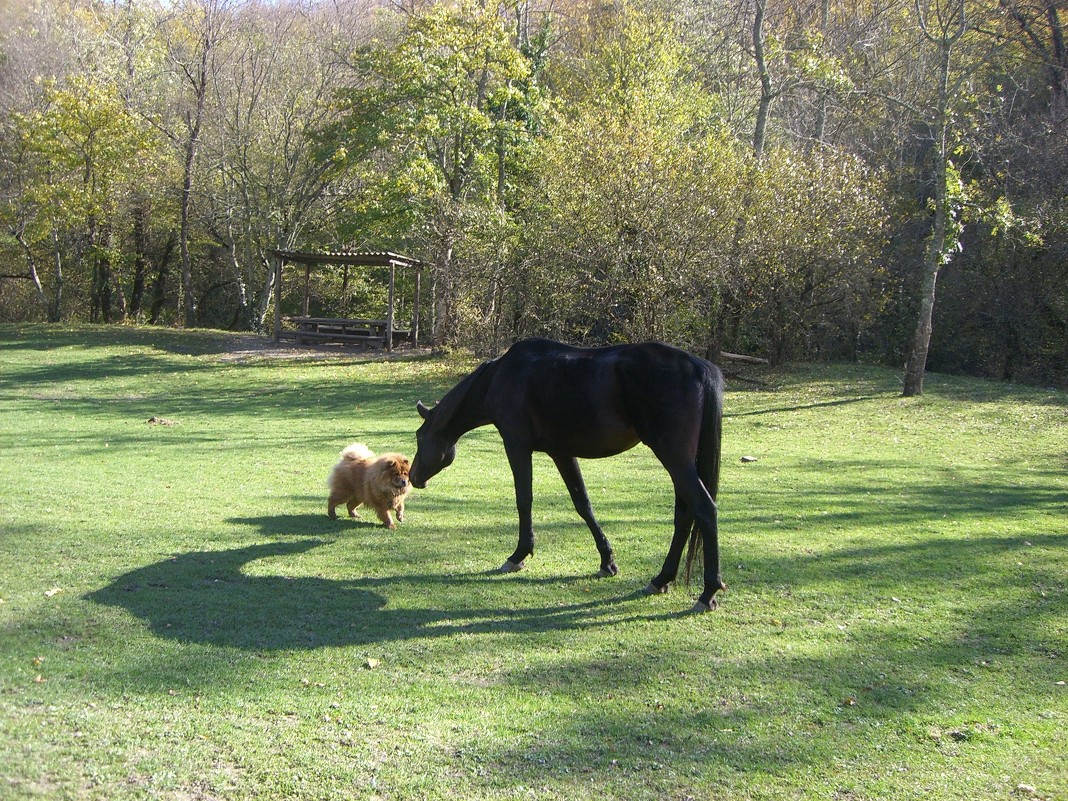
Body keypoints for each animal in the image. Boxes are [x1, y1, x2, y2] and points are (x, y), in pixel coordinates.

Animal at [407, 337, 726, 606]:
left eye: (419, 436)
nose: (412, 478)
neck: (501, 377)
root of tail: (699, 368)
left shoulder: (517, 446)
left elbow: (524, 500)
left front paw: (519, 555)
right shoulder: (562, 453)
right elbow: (582, 503)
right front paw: (606, 561)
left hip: (673, 457)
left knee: (704, 508)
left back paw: (708, 591)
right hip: (680, 461)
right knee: (684, 514)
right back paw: (661, 579)